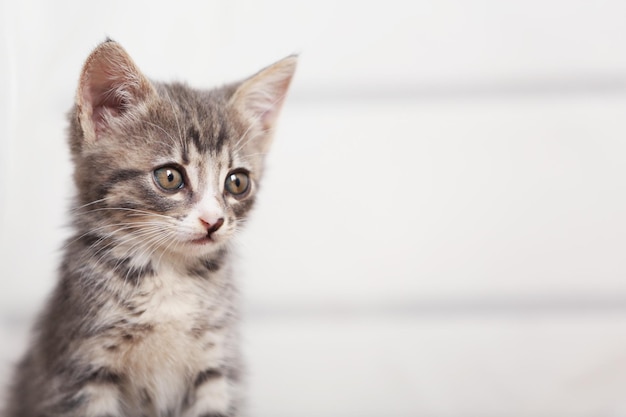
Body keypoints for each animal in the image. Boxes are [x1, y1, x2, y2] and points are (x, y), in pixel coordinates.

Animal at [3, 39, 294, 416]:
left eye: (237, 182)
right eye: (169, 177)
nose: (213, 221)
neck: (169, 273)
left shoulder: (216, 365)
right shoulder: (82, 367)